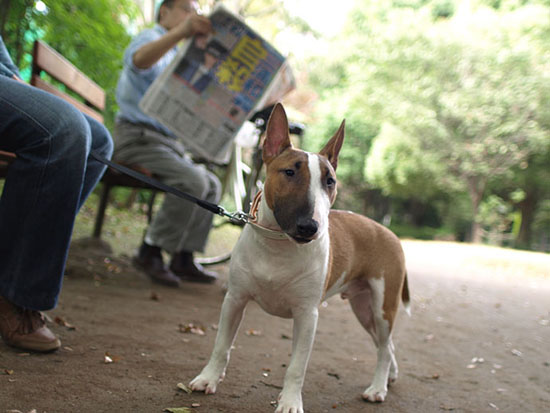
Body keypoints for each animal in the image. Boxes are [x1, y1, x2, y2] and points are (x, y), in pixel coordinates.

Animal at [190, 102, 410, 408]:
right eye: (289, 173)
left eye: (330, 181)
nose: (310, 227)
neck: (278, 247)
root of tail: (389, 233)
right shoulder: (235, 299)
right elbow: (221, 345)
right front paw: (207, 378)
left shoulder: (307, 316)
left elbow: (296, 366)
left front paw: (290, 402)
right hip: (363, 308)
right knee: (385, 344)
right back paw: (389, 377)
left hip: (382, 306)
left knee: (384, 346)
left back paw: (378, 388)